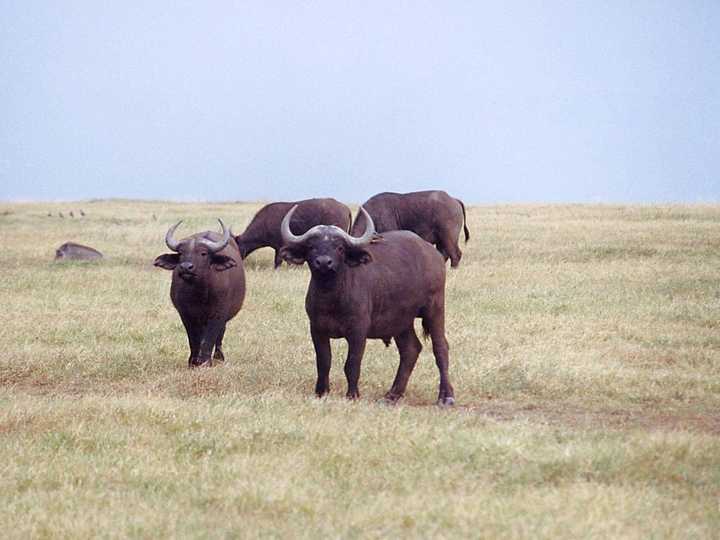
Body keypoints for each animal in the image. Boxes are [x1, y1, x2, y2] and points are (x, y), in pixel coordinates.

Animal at [153, 219, 246, 368]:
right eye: (181, 253)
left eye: (203, 253)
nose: (186, 267)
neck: (199, 294)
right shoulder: (186, 315)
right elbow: (193, 339)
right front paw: (193, 361)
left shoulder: (218, 314)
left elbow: (210, 338)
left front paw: (205, 362)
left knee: (220, 335)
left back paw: (219, 357)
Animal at [282, 206, 456, 404]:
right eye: (312, 246)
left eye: (339, 247)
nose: (324, 262)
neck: (332, 297)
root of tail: (433, 255)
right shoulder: (317, 329)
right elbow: (323, 362)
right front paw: (321, 392)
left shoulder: (358, 331)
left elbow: (352, 363)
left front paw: (352, 394)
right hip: (401, 322)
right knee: (410, 350)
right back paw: (393, 394)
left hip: (435, 309)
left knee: (441, 348)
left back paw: (446, 396)